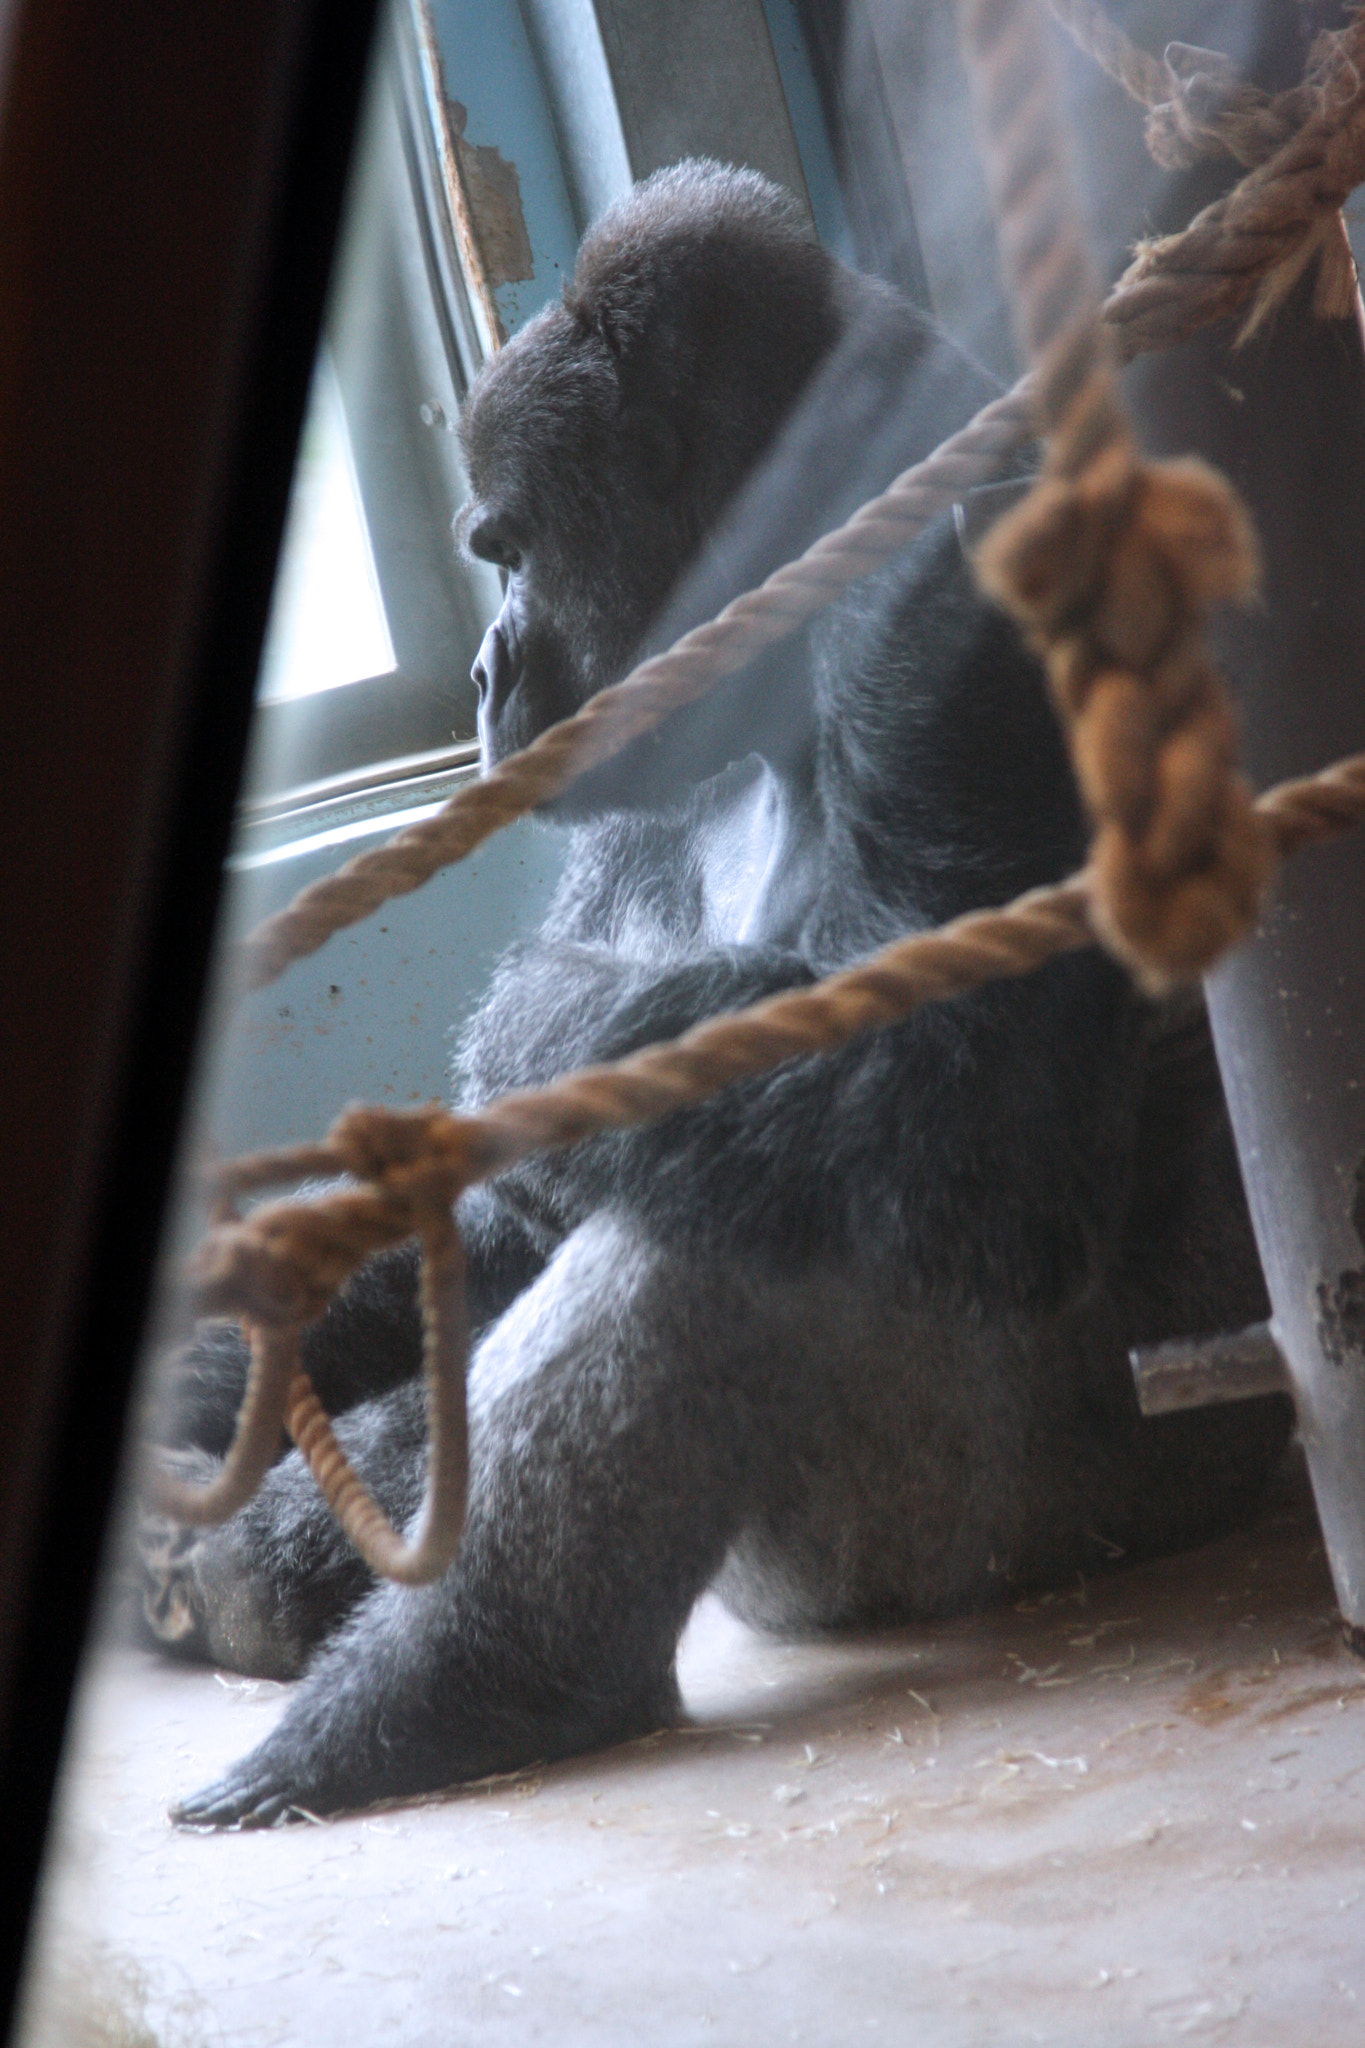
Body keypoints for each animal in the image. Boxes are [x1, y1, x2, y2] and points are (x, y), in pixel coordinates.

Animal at [144, 159, 1285, 1826]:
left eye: (508, 549)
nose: (485, 671)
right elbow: (509, 1199)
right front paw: (208, 1374)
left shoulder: (950, 603)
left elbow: (957, 1106)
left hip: (1028, 1515)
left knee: (762, 1193)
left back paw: (447, 1694)